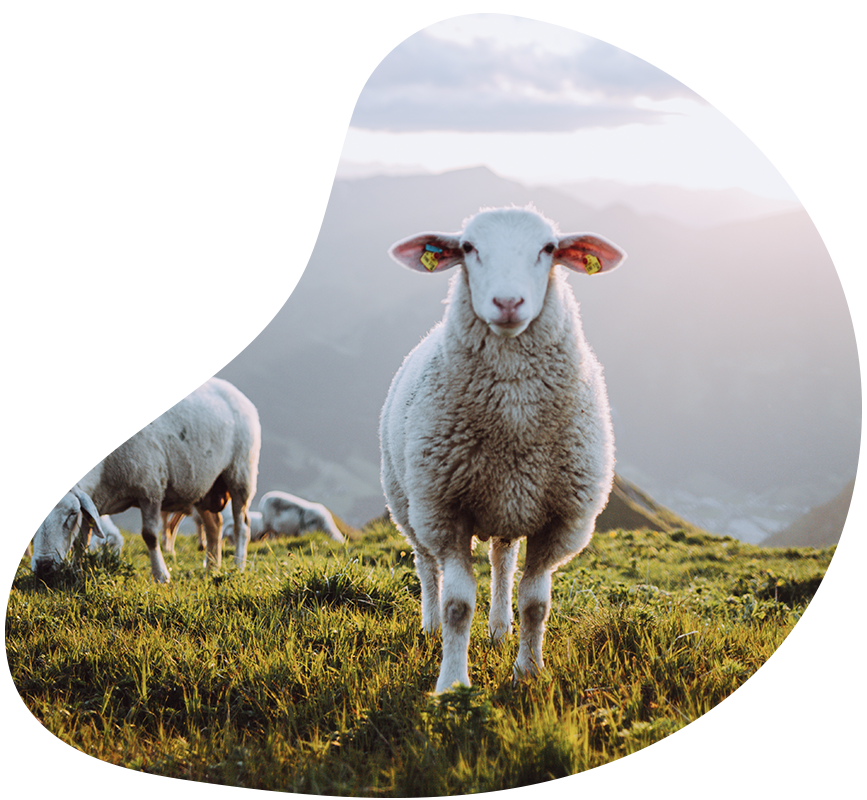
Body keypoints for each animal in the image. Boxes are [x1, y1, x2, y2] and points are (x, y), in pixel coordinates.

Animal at [31, 377, 261, 582]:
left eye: (70, 514)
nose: (43, 566)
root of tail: (234, 391)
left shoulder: (151, 487)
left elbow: (149, 535)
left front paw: (161, 575)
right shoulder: (93, 499)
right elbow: (82, 540)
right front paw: (77, 571)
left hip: (241, 473)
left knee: (241, 526)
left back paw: (238, 566)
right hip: (204, 485)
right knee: (214, 526)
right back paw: (211, 569)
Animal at [380, 205, 626, 693]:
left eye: (548, 248)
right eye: (468, 248)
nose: (508, 303)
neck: (514, 418)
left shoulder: (559, 519)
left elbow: (536, 603)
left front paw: (528, 672)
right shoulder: (446, 511)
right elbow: (458, 604)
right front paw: (452, 684)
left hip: (508, 504)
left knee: (501, 561)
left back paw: (499, 628)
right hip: (409, 502)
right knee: (426, 566)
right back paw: (431, 626)